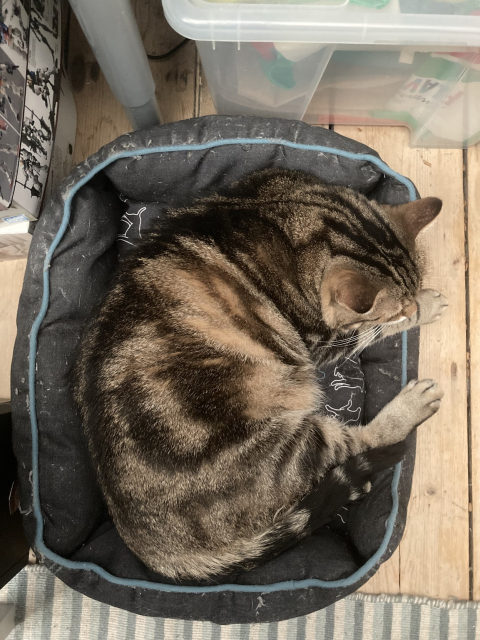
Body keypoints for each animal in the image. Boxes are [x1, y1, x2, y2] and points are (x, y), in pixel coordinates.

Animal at [74, 168, 446, 584]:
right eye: (395, 312)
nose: (411, 305)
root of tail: (151, 552)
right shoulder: (320, 343)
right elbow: (368, 332)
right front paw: (426, 306)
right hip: (288, 447)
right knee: (358, 443)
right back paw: (409, 408)